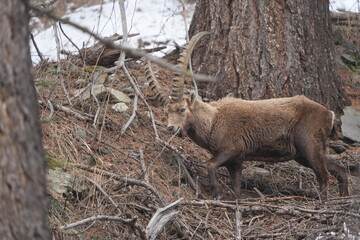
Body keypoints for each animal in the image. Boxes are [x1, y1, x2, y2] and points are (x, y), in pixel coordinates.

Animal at [146, 32, 348, 201]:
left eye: (181, 109)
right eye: (166, 112)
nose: (171, 128)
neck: (213, 121)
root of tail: (328, 113)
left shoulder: (231, 149)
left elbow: (210, 165)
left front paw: (218, 193)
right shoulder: (236, 160)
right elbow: (236, 186)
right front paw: (234, 200)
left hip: (308, 145)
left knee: (324, 175)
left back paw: (323, 203)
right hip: (304, 153)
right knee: (339, 169)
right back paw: (344, 199)